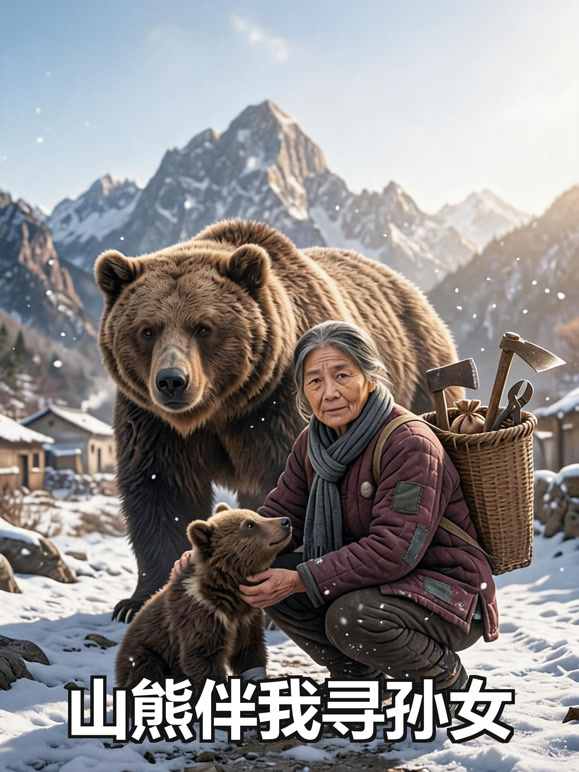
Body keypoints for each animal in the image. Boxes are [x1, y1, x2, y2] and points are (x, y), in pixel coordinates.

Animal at [95, 218, 462, 622]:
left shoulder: (276, 407)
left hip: (422, 372)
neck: (221, 407)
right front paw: (138, 601)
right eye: (147, 330)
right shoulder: (154, 422)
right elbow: (162, 490)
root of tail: (413, 292)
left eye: (203, 327)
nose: (172, 381)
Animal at [115, 503, 292, 690]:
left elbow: (250, 652)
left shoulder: (247, 618)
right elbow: (202, 658)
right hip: (147, 654)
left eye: (256, 516)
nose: (285, 521)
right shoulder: (199, 615)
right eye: (249, 524)